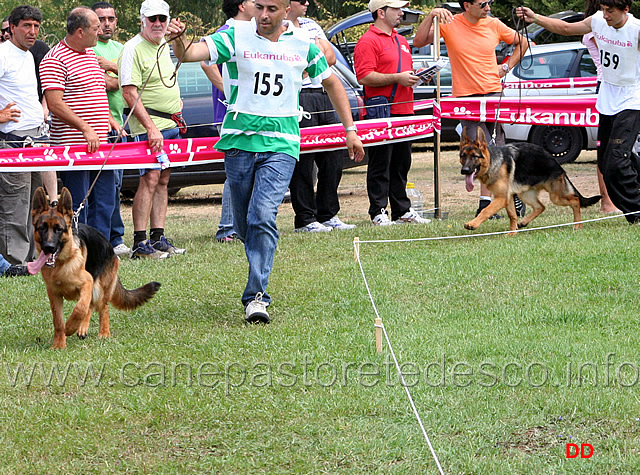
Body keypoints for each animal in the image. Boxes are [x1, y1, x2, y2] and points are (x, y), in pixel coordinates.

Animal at [30, 187, 161, 350]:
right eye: (42, 228)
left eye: (59, 229)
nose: (49, 247)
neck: (61, 265)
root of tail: (110, 247)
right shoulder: (54, 294)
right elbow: (58, 321)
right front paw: (59, 344)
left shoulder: (87, 282)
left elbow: (80, 308)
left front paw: (70, 327)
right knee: (91, 306)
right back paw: (83, 328)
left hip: (99, 287)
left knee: (101, 307)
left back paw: (103, 333)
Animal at [460, 127, 600, 233]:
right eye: (462, 156)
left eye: (474, 156)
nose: (464, 170)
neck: (493, 162)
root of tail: (555, 162)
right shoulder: (507, 197)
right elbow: (512, 216)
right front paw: (512, 233)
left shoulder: (502, 198)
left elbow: (486, 210)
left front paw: (473, 224)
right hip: (525, 194)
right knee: (540, 207)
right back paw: (523, 222)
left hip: (555, 196)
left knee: (575, 200)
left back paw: (578, 225)